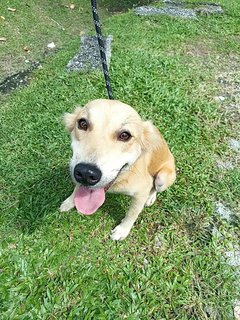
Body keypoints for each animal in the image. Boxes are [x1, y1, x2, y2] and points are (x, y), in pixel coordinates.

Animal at [60, 100, 176, 240]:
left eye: (125, 135)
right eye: (82, 123)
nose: (86, 173)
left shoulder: (141, 192)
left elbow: (132, 214)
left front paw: (122, 231)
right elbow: (77, 188)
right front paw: (69, 202)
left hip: (162, 178)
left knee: (156, 188)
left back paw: (150, 198)